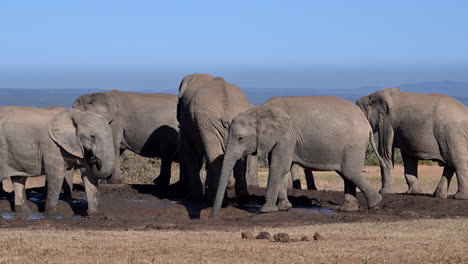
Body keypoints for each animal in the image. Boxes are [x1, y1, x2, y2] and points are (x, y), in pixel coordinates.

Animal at [178, 73, 252, 201]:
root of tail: (228, 111)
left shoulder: (187, 123)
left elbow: (190, 151)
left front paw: (194, 197)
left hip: (206, 123)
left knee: (212, 154)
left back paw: (214, 199)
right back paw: (242, 198)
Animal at [210, 95, 382, 217]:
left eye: (240, 138)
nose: (212, 217)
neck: (259, 110)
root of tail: (366, 123)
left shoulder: (286, 136)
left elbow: (278, 167)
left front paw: (266, 210)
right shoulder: (281, 139)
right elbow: (283, 168)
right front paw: (285, 207)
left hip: (354, 144)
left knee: (349, 172)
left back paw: (376, 204)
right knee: (346, 173)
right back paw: (348, 209)